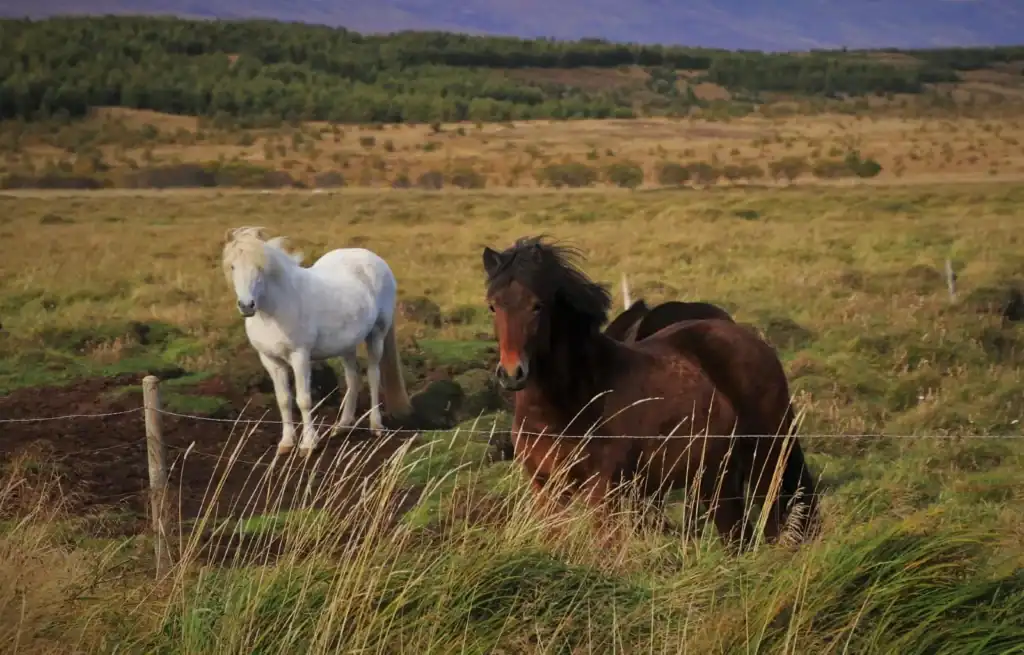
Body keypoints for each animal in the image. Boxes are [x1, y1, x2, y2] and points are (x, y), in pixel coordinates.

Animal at [222, 226, 413, 456]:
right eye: (232, 266)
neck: (274, 310)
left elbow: (303, 400)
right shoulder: (271, 361)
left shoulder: (300, 356)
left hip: (376, 335)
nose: (246, 305)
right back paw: (342, 426)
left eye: (260, 267)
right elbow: (283, 400)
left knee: (374, 376)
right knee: (353, 378)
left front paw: (308, 444)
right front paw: (286, 442)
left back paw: (376, 426)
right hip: (346, 344)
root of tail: (375, 259)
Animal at [482, 235, 772, 549]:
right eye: (493, 307)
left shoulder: (602, 491)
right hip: (715, 478)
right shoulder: (544, 487)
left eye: (537, 306)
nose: (512, 373)